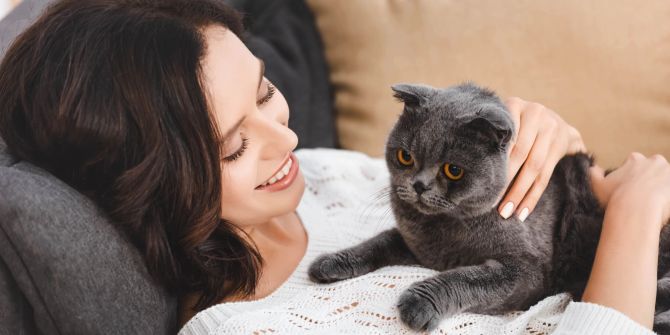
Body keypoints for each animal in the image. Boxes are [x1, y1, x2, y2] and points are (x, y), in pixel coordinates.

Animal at [308, 82, 670, 334]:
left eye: (454, 170)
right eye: (405, 156)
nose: (419, 186)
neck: (444, 232)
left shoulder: (527, 271)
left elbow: (466, 278)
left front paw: (417, 303)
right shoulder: (418, 248)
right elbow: (380, 240)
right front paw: (330, 263)